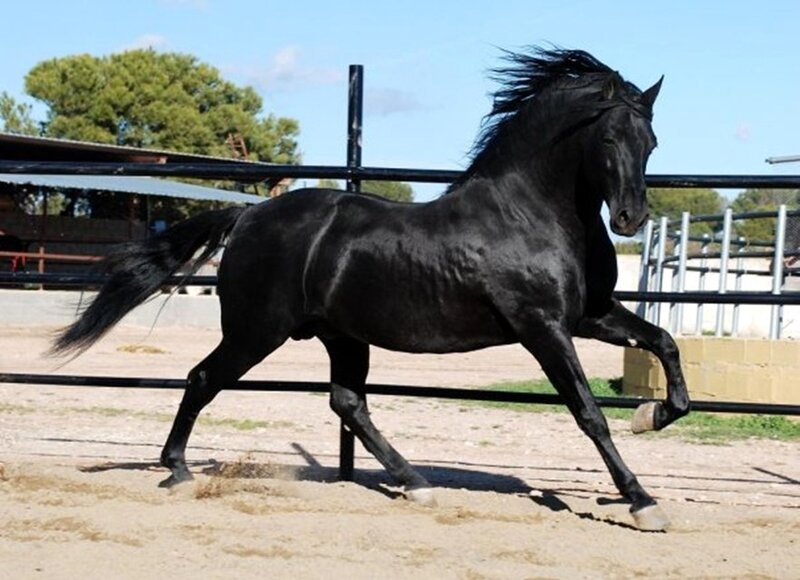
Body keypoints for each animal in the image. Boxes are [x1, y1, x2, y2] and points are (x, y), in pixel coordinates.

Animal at [52, 47, 690, 531]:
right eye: (608, 140)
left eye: (651, 142)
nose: (631, 218)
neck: (529, 213)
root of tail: (250, 215)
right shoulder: (543, 327)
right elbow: (588, 412)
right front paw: (643, 502)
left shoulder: (589, 314)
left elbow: (664, 344)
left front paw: (652, 415)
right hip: (259, 329)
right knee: (204, 378)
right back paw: (178, 471)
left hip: (341, 336)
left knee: (347, 403)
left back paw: (416, 484)